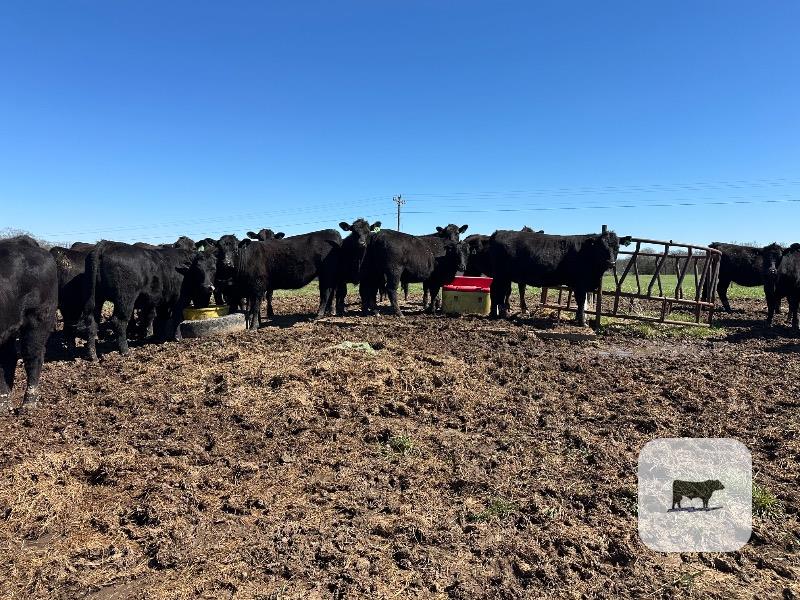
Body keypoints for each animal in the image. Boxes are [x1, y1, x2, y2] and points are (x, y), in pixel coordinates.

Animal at [78, 242, 217, 360]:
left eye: (213, 268)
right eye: (198, 268)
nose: (208, 286)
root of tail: (105, 244)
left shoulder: (164, 301)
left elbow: (163, 318)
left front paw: (159, 338)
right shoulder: (179, 300)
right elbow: (177, 317)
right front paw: (178, 337)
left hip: (95, 298)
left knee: (92, 322)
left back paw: (92, 356)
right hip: (125, 299)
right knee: (119, 321)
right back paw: (125, 350)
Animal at [488, 229, 630, 326]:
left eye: (617, 247)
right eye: (602, 247)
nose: (611, 263)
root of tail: (498, 232)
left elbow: (581, 302)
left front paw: (578, 319)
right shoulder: (581, 283)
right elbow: (581, 301)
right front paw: (582, 322)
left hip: (504, 277)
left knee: (501, 292)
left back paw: (501, 314)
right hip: (501, 275)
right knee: (496, 291)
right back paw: (495, 314)